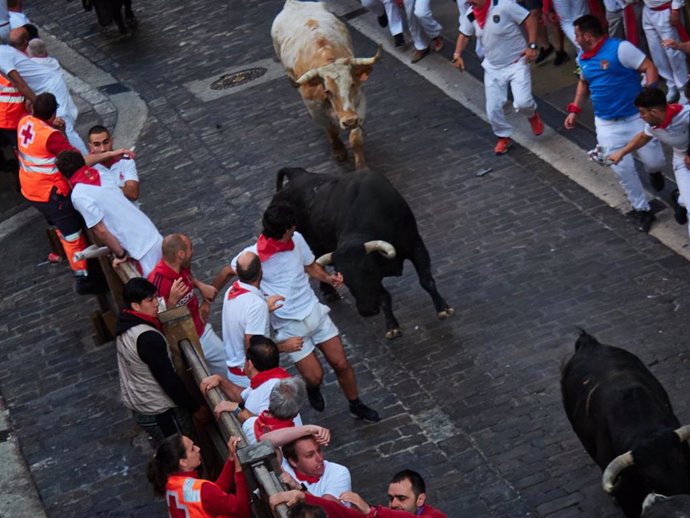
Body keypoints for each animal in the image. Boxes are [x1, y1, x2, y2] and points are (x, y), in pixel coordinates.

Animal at [270, 0, 378, 171]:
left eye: (352, 84)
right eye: (327, 90)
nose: (349, 121)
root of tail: (293, 4)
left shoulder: (359, 102)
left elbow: (355, 138)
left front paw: (361, 167)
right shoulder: (315, 109)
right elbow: (331, 130)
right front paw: (338, 150)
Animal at [272, 168, 454, 342]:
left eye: (369, 272)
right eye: (344, 279)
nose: (367, 311)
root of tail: (297, 174)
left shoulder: (415, 244)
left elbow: (426, 280)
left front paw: (443, 309)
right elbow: (384, 297)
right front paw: (392, 327)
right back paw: (329, 291)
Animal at [560, 334, 688, 518]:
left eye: (680, 458)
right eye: (647, 476)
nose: (681, 494)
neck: (643, 429)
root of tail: (588, 343)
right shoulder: (626, 494)